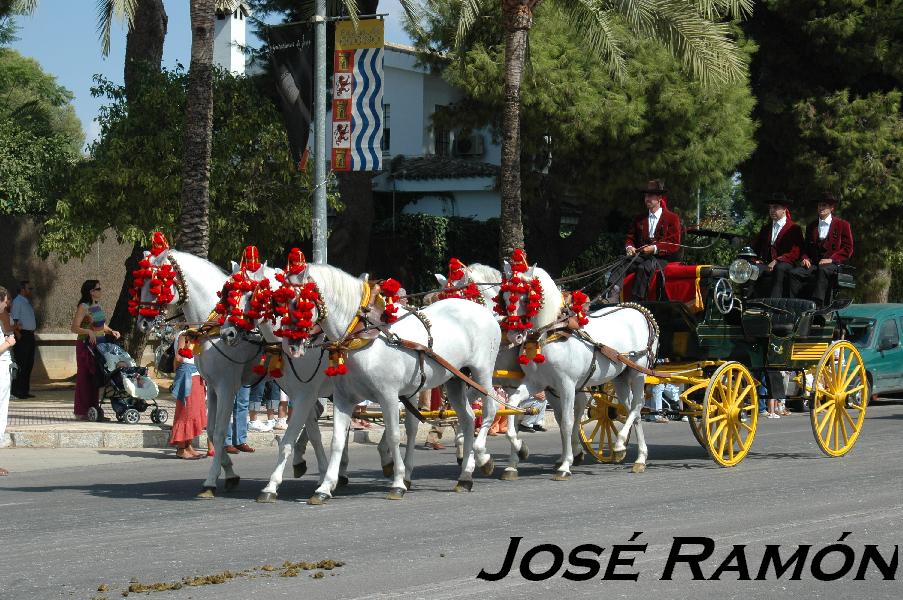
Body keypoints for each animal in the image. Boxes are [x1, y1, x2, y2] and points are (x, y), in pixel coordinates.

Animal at [284, 262, 504, 502]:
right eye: (279, 302)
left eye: (298, 303)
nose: (290, 346)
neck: (364, 336)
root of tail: (484, 312)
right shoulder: (343, 399)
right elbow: (337, 440)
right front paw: (325, 487)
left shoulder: (388, 396)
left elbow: (394, 435)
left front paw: (398, 482)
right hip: (455, 379)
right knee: (468, 419)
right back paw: (465, 476)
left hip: (482, 373)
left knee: (491, 408)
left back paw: (482, 457)